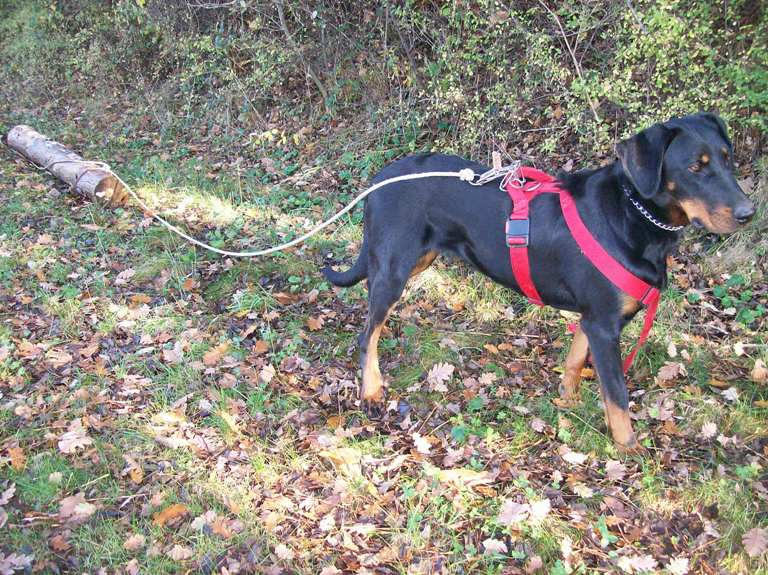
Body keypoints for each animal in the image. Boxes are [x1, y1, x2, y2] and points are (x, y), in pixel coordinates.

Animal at [322, 113, 755, 452]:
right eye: (695, 168)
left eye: (728, 159)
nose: (749, 213)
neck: (633, 215)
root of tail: (378, 179)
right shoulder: (605, 325)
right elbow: (617, 395)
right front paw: (628, 448)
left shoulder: (591, 319)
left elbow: (575, 361)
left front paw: (568, 402)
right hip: (394, 268)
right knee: (368, 333)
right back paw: (371, 391)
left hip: (415, 259)